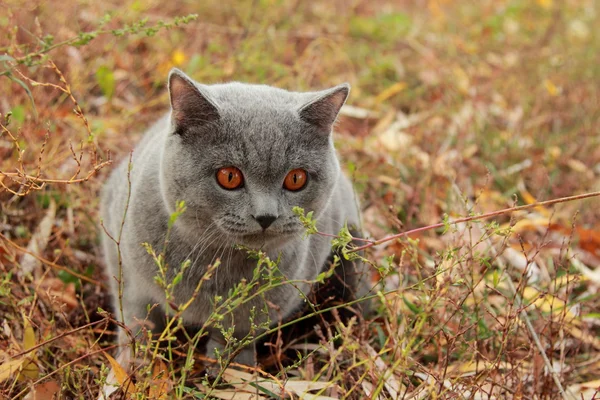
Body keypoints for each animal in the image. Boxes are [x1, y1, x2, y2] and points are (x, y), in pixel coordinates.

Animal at [101, 69, 368, 366]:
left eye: (296, 179)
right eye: (229, 176)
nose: (266, 215)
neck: (217, 264)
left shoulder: (261, 309)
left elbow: (237, 334)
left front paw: (231, 369)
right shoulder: (128, 274)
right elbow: (137, 321)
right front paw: (133, 364)